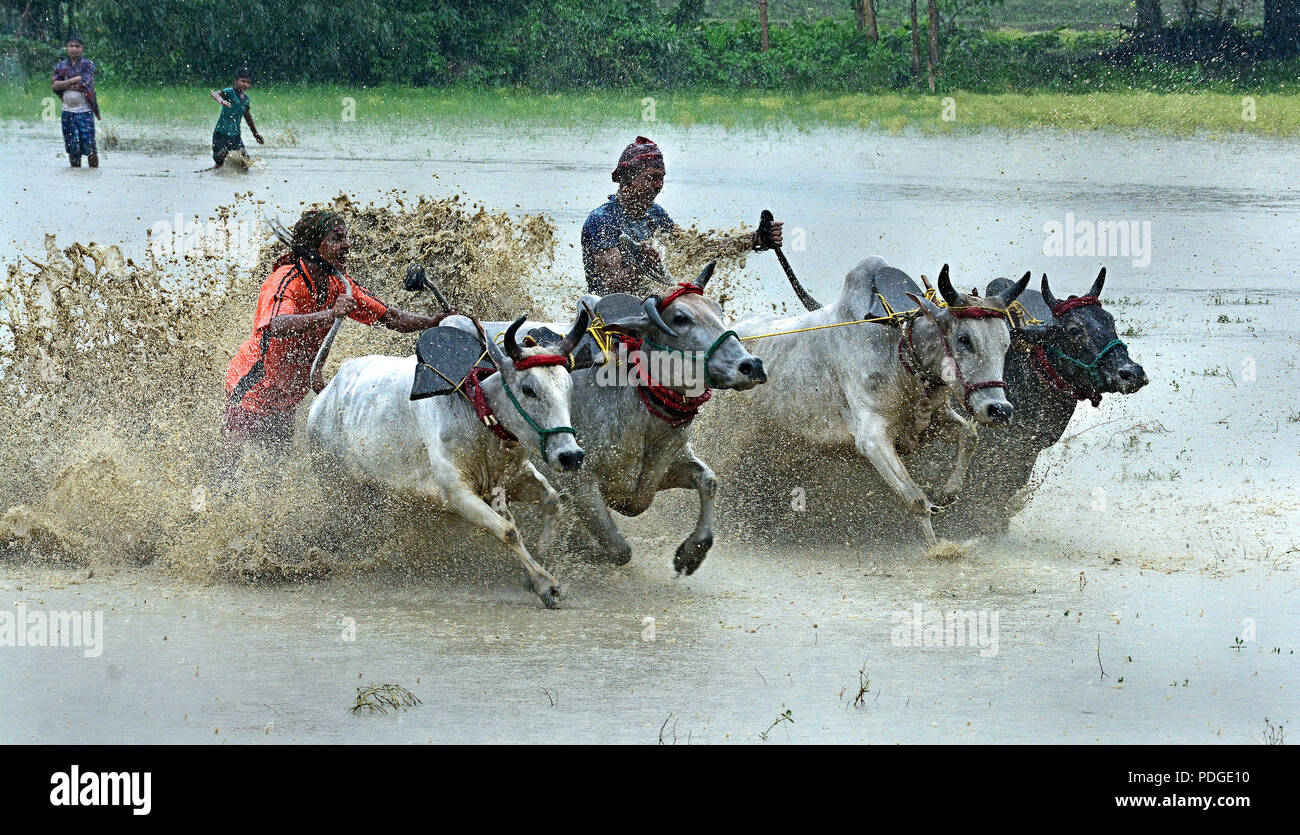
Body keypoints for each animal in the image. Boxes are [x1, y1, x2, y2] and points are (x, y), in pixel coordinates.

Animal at [304, 309, 590, 600]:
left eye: (568, 388)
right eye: (528, 389)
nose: (571, 455)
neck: (476, 409)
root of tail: (325, 394)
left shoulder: (514, 477)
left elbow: (551, 501)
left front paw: (535, 567)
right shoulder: (457, 494)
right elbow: (508, 530)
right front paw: (545, 584)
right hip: (339, 489)